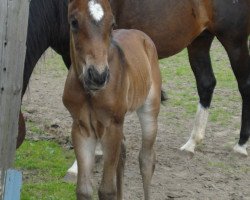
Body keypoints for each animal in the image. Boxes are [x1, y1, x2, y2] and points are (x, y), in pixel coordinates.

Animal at [20, 0, 250, 156]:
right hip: (200, 40)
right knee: (206, 83)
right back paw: (192, 142)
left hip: (234, 41)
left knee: (244, 85)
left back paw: (241, 144)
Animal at [63, 0, 163, 199]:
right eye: (74, 22)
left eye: (112, 24)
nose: (98, 76)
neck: (90, 93)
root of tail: (142, 36)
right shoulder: (81, 128)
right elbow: (84, 190)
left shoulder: (111, 125)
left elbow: (107, 190)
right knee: (123, 152)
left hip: (150, 107)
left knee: (147, 159)